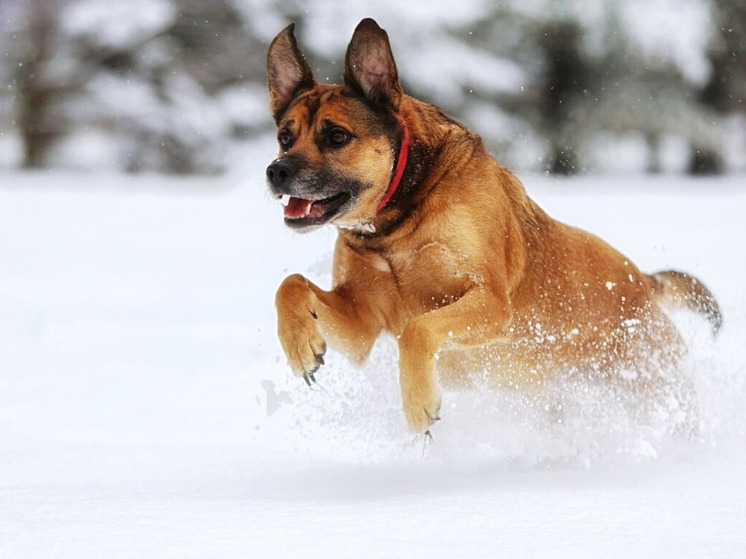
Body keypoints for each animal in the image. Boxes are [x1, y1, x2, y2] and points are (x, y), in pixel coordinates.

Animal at [264, 17, 716, 436]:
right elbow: (290, 285)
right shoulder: (363, 323)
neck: (396, 224)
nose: (276, 171)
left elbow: (418, 328)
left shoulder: (492, 301)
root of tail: (642, 281)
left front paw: (418, 403)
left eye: (337, 137)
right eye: (285, 136)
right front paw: (300, 346)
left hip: (649, 381)